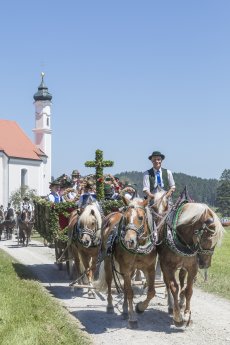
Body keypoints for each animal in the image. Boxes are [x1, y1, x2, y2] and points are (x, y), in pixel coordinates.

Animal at [96, 196, 157, 328]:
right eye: (125, 217)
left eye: (140, 217)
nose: (129, 241)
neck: (139, 249)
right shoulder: (126, 268)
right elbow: (130, 293)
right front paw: (133, 318)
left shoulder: (149, 268)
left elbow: (151, 292)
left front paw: (140, 307)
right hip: (108, 261)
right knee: (110, 282)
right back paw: (110, 306)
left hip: (131, 270)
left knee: (124, 285)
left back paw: (124, 311)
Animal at [153, 189, 225, 326]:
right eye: (207, 239)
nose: (205, 264)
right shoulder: (167, 265)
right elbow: (173, 287)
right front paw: (177, 316)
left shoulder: (192, 266)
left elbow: (189, 289)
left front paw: (186, 313)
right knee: (168, 283)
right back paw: (171, 305)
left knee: (182, 278)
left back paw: (181, 301)